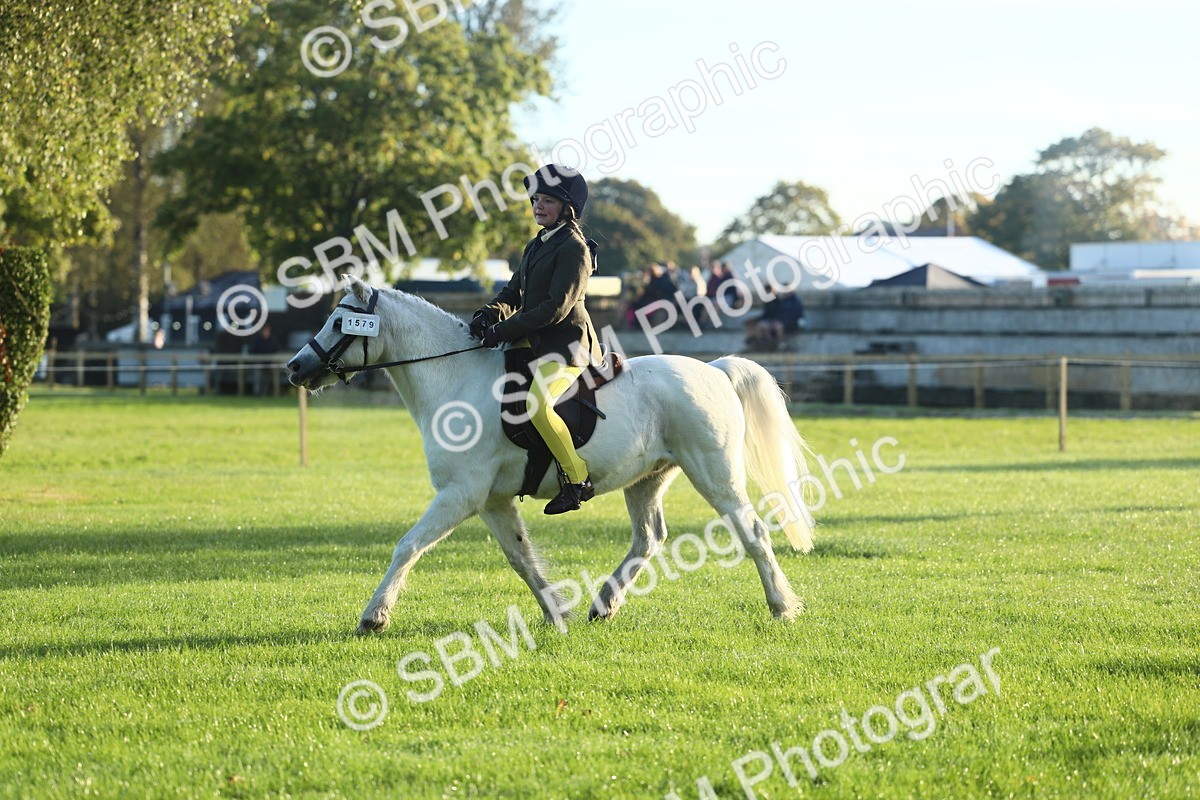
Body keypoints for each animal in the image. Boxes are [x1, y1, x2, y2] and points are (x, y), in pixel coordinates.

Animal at [286, 275, 816, 634]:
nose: (295, 367)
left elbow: (408, 545)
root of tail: (716, 369)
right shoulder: (491, 501)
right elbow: (520, 558)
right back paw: (603, 605)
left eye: (339, 322)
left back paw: (782, 607)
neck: (456, 380)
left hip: (713, 472)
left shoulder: (459, 495)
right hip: (647, 478)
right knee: (648, 539)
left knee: (752, 531)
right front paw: (555, 611)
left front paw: (374, 616)